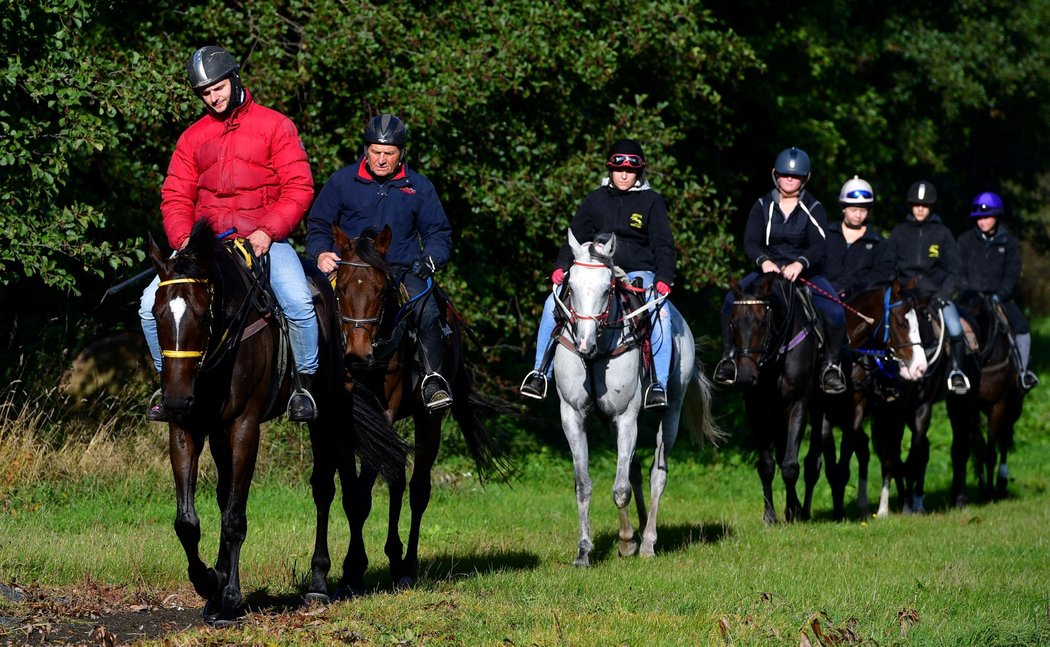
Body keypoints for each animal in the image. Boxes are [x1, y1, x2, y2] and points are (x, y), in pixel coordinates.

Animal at [150, 221, 403, 621]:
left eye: (203, 314)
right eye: (157, 314)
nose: (175, 398)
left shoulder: (244, 428)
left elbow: (235, 518)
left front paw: (229, 596)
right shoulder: (186, 429)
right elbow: (189, 522)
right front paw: (210, 582)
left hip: (326, 415)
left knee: (326, 490)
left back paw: (319, 583)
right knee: (227, 496)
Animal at [730, 270, 818, 523]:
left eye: (762, 322)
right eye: (732, 323)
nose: (745, 377)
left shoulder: (798, 403)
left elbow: (790, 465)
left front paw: (791, 512)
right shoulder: (755, 407)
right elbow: (767, 465)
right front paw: (769, 515)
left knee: (812, 464)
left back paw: (803, 510)